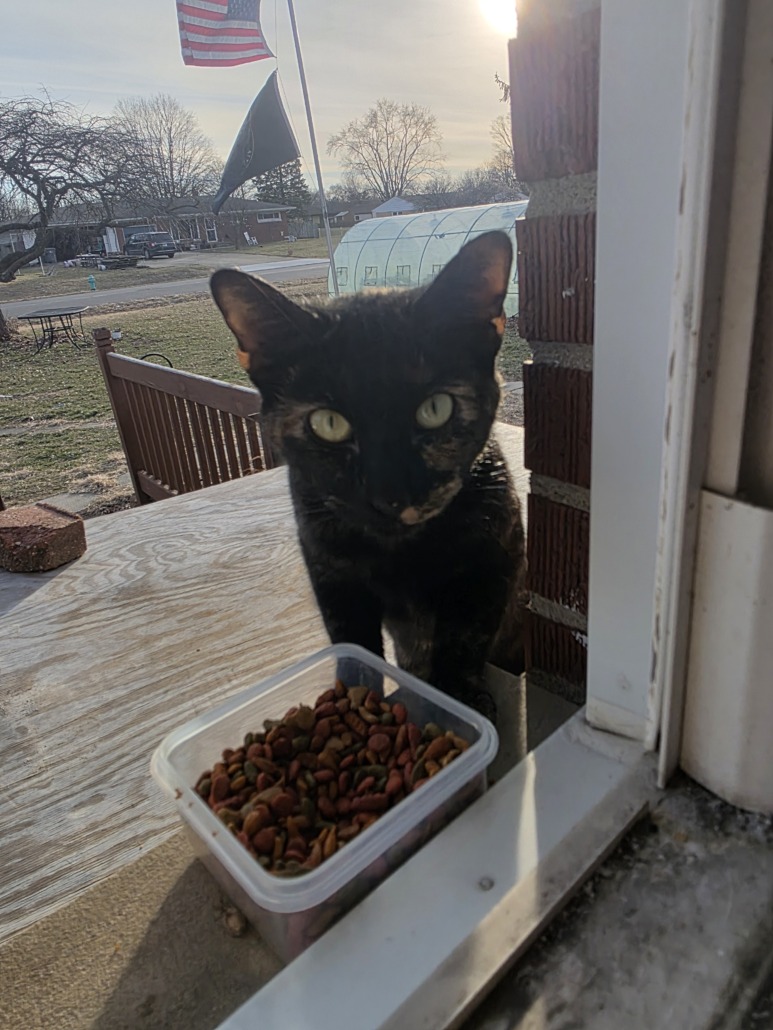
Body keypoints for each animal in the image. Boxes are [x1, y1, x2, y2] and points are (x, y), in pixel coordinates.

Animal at [210, 230, 526, 722]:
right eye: (328, 423)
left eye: (435, 409)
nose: (390, 495)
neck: (401, 555)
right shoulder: (330, 571)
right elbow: (353, 644)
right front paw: (353, 695)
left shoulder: (493, 560)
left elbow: (464, 639)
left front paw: (458, 701)